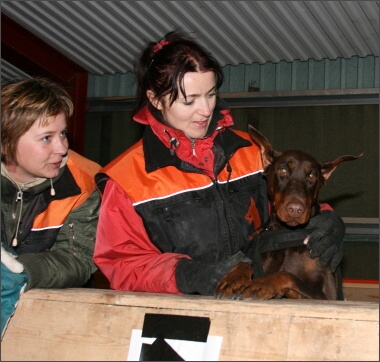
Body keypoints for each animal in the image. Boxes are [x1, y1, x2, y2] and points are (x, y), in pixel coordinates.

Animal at [217, 124, 362, 300]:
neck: (287, 233)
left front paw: (260, 285)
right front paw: (233, 278)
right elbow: (246, 262)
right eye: (283, 171)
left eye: (312, 175)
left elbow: (287, 275)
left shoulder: (327, 296)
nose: (295, 210)